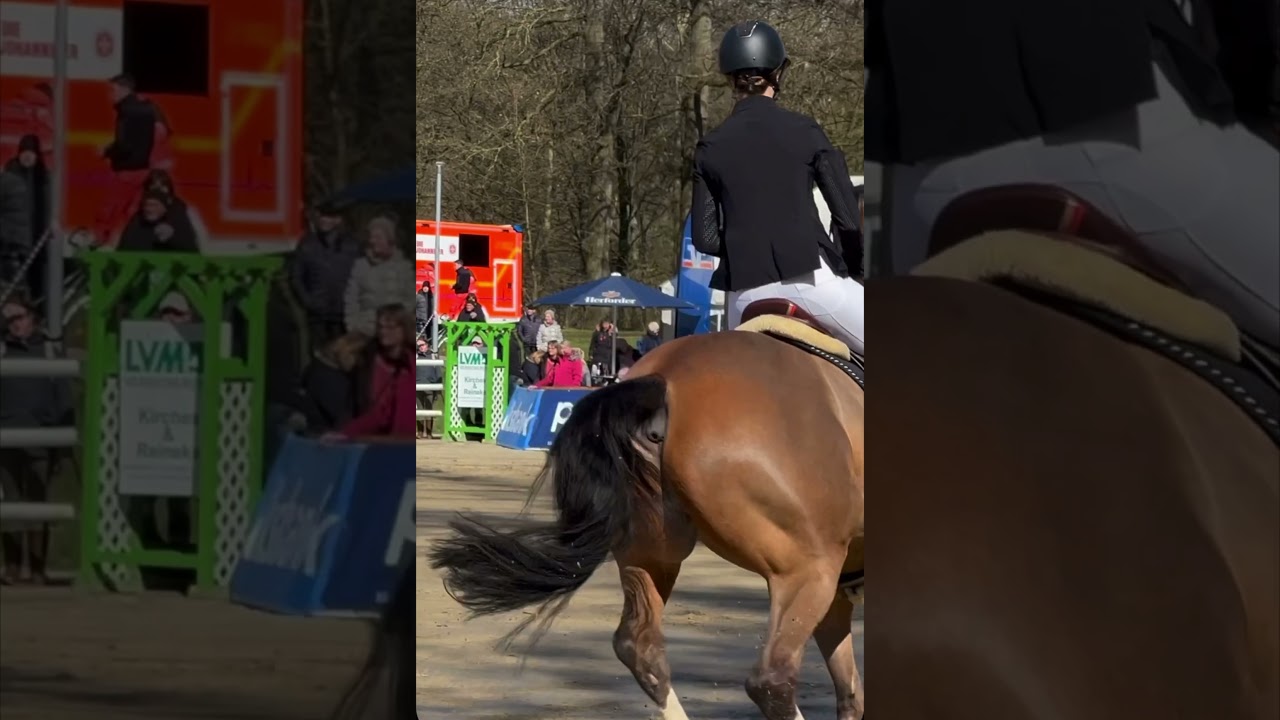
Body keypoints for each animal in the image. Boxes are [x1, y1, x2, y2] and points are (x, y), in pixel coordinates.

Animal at [432, 326, 870, 717]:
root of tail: (666, 377)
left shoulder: (838, 598)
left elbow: (851, 693)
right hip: (806, 569)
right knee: (771, 679)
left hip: (651, 555)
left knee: (640, 649)